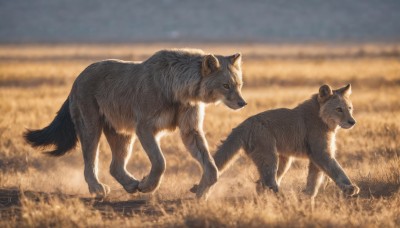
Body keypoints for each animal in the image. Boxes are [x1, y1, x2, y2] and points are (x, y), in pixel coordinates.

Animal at [24, 49, 247, 199]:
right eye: (226, 85)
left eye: (239, 84)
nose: (242, 103)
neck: (183, 92)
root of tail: (77, 78)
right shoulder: (145, 127)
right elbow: (159, 161)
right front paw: (148, 186)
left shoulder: (189, 129)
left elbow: (210, 163)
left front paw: (202, 191)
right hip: (90, 124)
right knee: (90, 161)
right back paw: (99, 189)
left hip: (121, 131)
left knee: (115, 165)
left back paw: (131, 184)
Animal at [191, 83, 360, 198]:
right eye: (339, 109)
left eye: (350, 108)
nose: (352, 122)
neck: (325, 121)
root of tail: (244, 124)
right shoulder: (321, 152)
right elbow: (336, 169)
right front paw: (350, 188)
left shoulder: (316, 157)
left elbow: (314, 181)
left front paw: (307, 199)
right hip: (269, 154)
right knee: (268, 182)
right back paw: (283, 199)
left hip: (283, 159)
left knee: (261, 184)